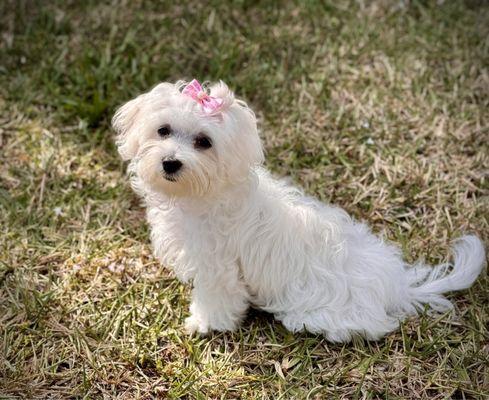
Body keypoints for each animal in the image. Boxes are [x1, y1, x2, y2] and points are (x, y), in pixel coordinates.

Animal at [111, 79, 484, 342]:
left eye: (204, 142)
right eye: (163, 130)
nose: (170, 162)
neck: (204, 193)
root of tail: (398, 287)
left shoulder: (218, 267)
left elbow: (217, 298)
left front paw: (205, 324)